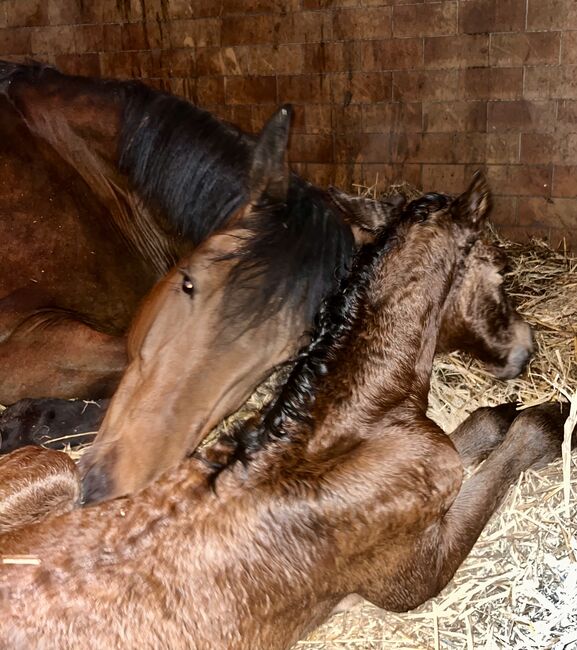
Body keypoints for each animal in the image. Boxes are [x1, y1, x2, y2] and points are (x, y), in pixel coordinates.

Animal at [0, 172, 568, 648]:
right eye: (501, 269)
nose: (526, 349)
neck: (340, 428)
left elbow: (476, 429)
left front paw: (502, 414)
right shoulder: (417, 572)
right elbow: (507, 454)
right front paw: (551, 416)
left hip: (51, 468)